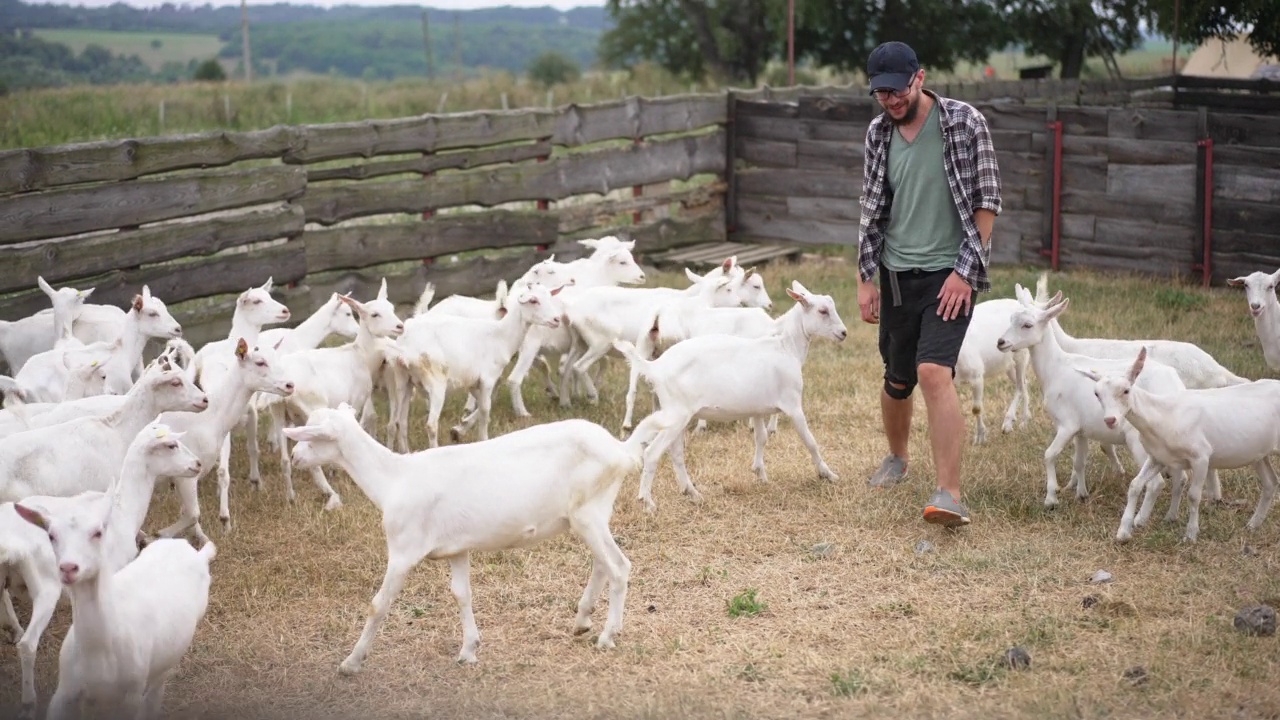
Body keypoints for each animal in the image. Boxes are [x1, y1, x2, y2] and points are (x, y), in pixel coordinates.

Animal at [12, 489, 215, 717]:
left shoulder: (132, 693)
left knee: (156, 690)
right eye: (51, 535)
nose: (68, 568)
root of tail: (194, 552)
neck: (99, 651)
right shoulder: (66, 689)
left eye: (98, 532)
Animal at [284, 399, 675, 671]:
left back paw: (608, 635)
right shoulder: (457, 549)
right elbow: (462, 594)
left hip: (588, 513)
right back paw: (582, 621)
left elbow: (378, 604)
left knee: (619, 566)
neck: (393, 478)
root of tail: (621, 450)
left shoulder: (403, 549)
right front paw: (468, 650)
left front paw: (350, 663)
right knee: (602, 563)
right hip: (592, 513)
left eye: (313, 436)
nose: (294, 456)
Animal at [611, 280, 844, 509]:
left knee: (675, 453)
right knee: (652, 453)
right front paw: (828, 474)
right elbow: (810, 441)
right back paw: (648, 502)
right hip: (677, 414)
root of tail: (656, 367)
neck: (785, 347)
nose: (843, 333)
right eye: (823, 311)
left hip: (674, 415)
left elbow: (761, 438)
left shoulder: (757, 408)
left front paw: (760, 474)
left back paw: (692, 493)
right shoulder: (793, 405)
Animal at [1085, 345, 1280, 538]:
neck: (1165, 415)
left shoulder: (1201, 456)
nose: (1110, 420)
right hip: (1259, 453)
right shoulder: (1158, 457)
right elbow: (1135, 485)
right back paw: (1253, 524)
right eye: (1096, 394)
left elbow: (1193, 495)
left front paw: (1191, 534)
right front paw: (1124, 532)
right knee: (1270, 483)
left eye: (1126, 390)